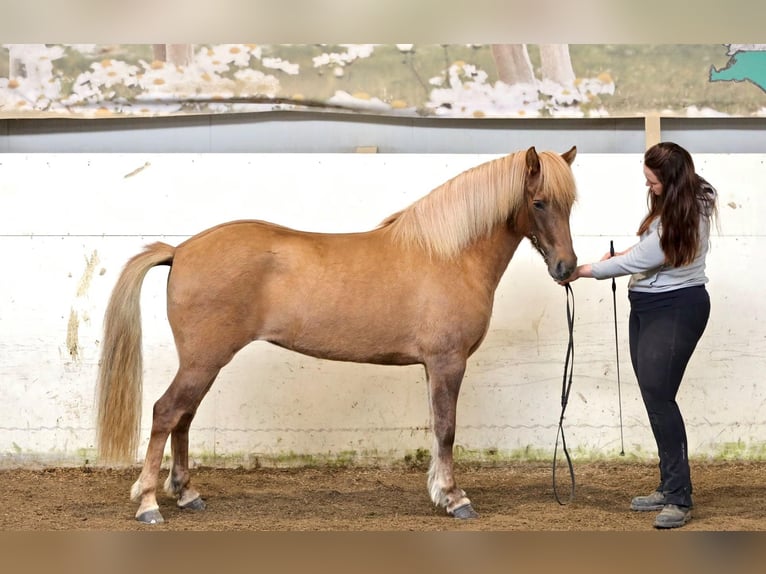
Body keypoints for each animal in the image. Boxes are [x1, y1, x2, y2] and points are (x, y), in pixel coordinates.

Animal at [96, 146, 580, 524]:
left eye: (570, 205)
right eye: (539, 202)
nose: (566, 267)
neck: (449, 255)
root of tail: (180, 250)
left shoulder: (433, 366)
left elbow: (436, 427)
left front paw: (440, 492)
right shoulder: (448, 361)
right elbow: (446, 429)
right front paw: (455, 498)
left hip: (202, 363)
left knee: (183, 417)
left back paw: (187, 495)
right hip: (202, 360)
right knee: (165, 413)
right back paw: (148, 504)